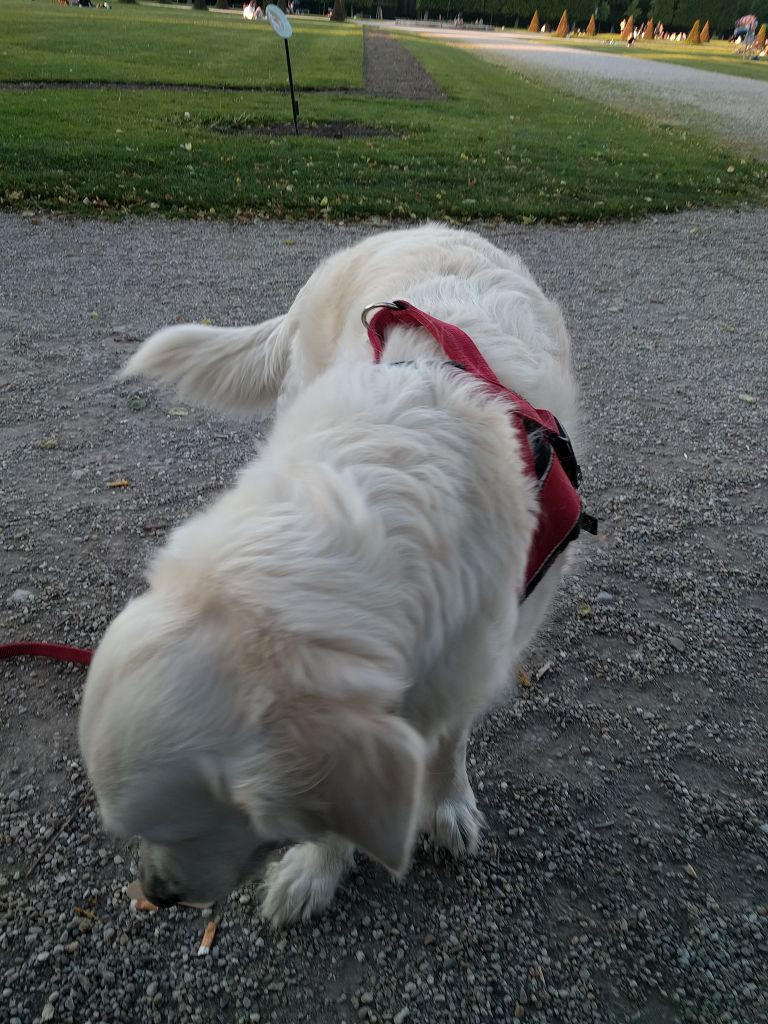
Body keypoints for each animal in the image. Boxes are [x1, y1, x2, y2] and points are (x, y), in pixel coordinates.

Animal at [79, 225, 583, 927]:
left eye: (186, 828)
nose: (155, 892)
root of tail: (411, 227)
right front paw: (316, 870)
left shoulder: (476, 652)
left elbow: (448, 741)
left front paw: (448, 805)